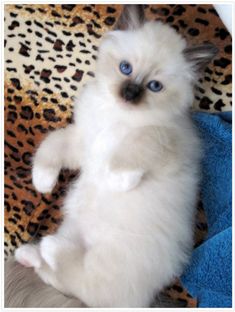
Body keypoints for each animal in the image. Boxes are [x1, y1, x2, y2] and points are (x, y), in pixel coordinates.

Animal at [4, 5, 218, 310]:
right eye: (125, 68)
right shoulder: (83, 140)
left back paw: (48, 247)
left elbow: (132, 148)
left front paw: (116, 179)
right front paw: (43, 183)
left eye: (154, 86)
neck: (115, 115)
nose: (129, 93)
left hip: (105, 260)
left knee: (82, 281)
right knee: (61, 278)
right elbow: (50, 146)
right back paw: (31, 254)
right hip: (73, 233)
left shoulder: (163, 140)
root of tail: (142, 302)